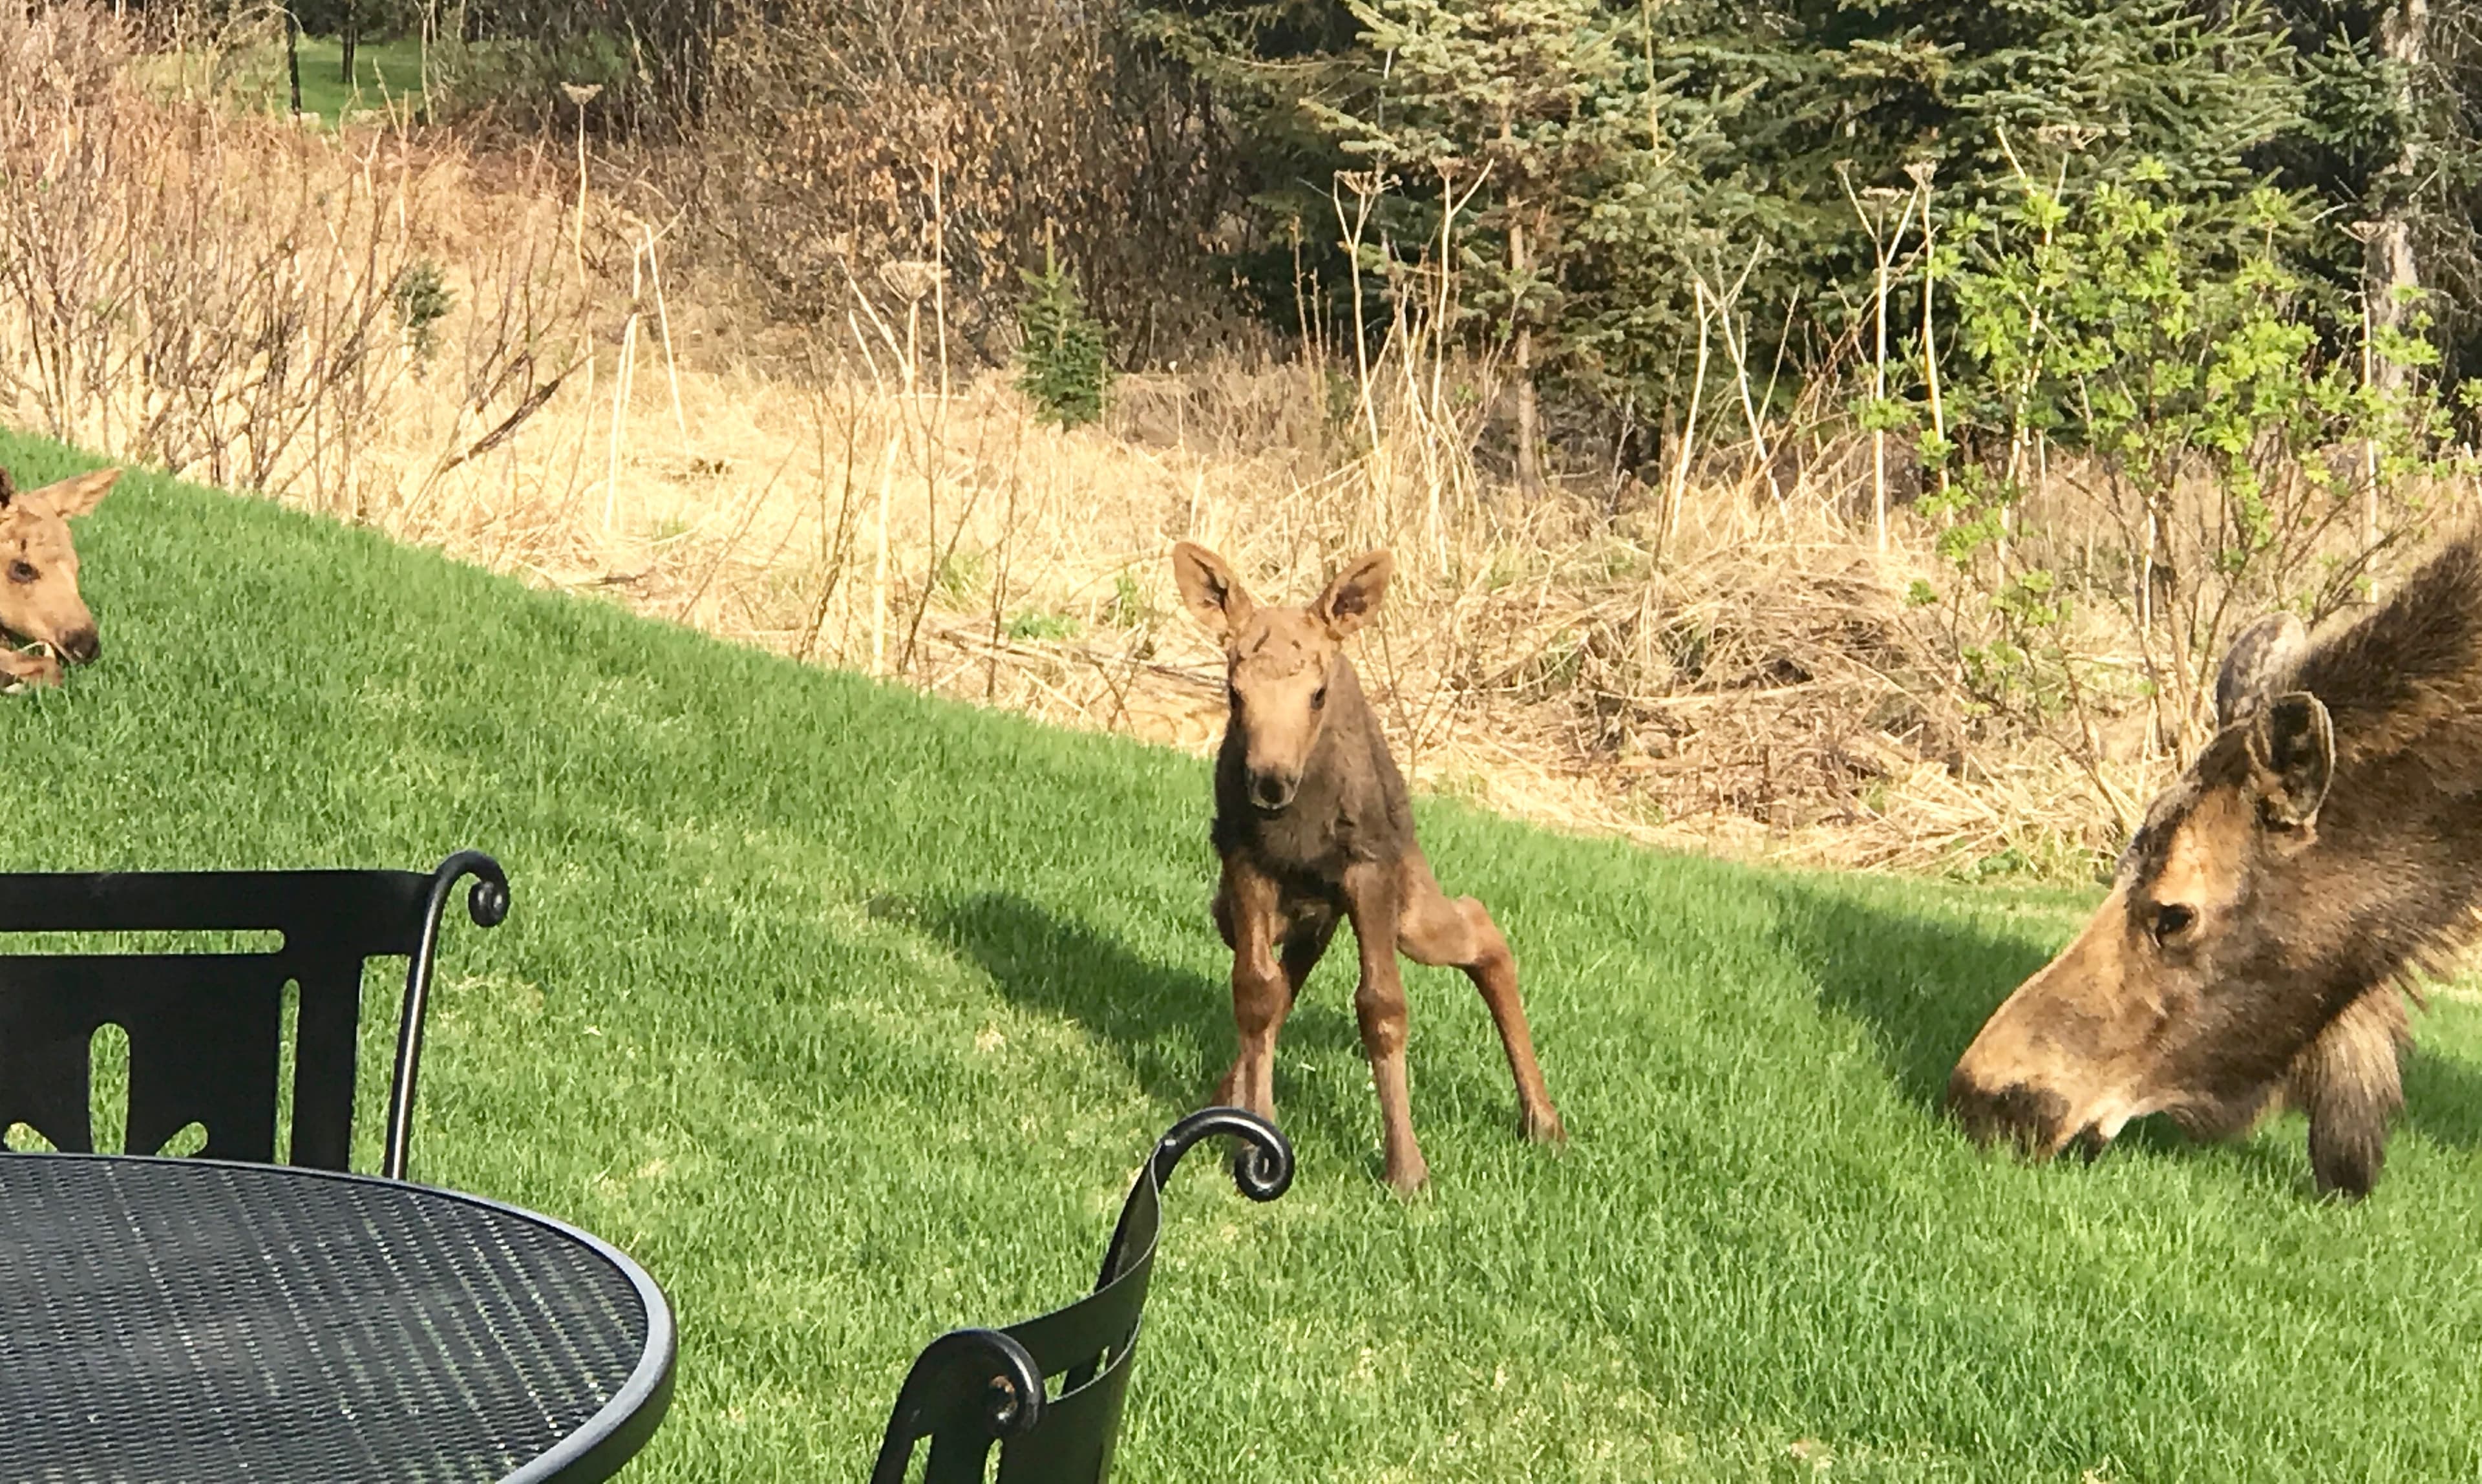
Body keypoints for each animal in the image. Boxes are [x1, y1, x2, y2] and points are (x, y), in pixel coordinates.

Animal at [1171, 541, 1565, 1194]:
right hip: (1258, 910)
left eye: (1316, 694)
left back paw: (1542, 1117)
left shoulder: (1370, 870)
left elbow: (1382, 1007)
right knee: (1287, 982)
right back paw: (1221, 1096)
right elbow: (1257, 994)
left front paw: (1406, 1169)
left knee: (1481, 926)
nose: (1270, 783)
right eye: (1234, 692)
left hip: (1408, 905)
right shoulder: (1246, 864)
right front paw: (1255, 1140)